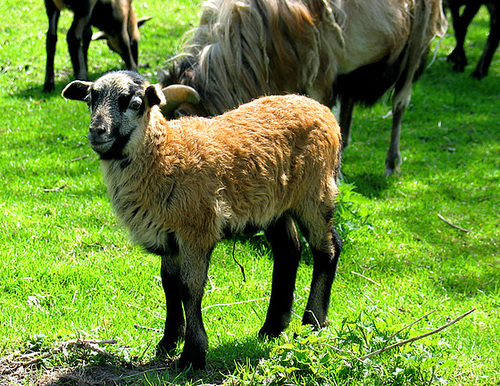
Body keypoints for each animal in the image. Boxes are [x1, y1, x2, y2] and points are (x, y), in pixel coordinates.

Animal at [61, 71, 344, 370]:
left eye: (135, 104)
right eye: (90, 100)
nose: (97, 131)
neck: (164, 155)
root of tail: (319, 108)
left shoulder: (196, 231)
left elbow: (189, 288)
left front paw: (192, 355)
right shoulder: (168, 237)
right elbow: (169, 284)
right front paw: (167, 342)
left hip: (315, 193)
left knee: (327, 249)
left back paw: (313, 323)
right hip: (273, 205)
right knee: (288, 250)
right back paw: (272, 328)